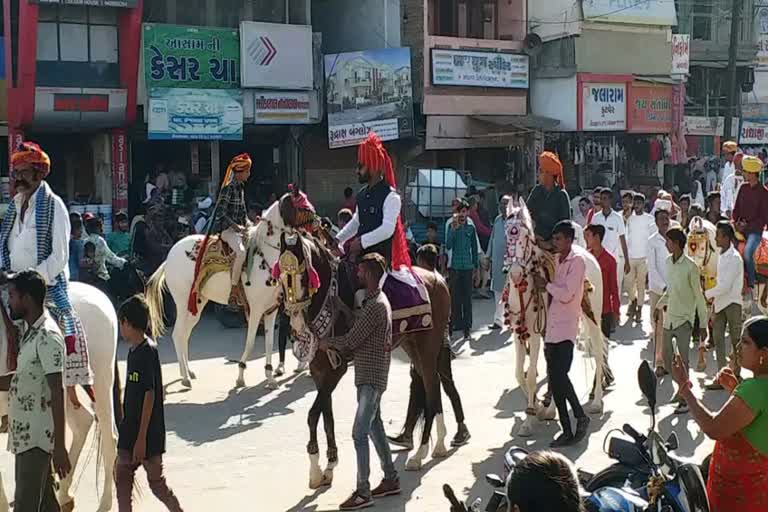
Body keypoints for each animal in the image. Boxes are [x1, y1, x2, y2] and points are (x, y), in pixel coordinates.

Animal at [0, 282, 118, 510]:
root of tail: (100, 295)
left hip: (101, 380)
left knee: (110, 439)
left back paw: (105, 502)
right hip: (63, 394)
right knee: (83, 422)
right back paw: (64, 494)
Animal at [146, 200, 284, 388]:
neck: (264, 257)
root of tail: (169, 258)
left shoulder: (271, 310)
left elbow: (269, 343)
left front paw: (270, 378)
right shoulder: (256, 310)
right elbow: (250, 342)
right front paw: (240, 377)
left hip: (196, 303)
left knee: (185, 335)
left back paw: (188, 371)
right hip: (182, 302)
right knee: (178, 334)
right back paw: (185, 377)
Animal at [276, 191, 452, 488]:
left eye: (302, 274)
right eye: (282, 275)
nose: (295, 319)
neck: (330, 297)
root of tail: (437, 278)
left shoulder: (336, 367)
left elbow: (313, 415)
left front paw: (316, 469)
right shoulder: (319, 369)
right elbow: (325, 416)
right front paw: (327, 466)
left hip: (428, 346)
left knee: (430, 387)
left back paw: (421, 452)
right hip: (412, 345)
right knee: (433, 386)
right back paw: (437, 444)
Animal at [504, 198, 608, 438]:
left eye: (525, 237)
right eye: (506, 234)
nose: (515, 273)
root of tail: (588, 253)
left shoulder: (533, 333)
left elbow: (531, 376)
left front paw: (528, 421)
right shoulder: (518, 332)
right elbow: (519, 374)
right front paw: (537, 408)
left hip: (593, 317)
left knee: (598, 352)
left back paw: (596, 402)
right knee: (557, 368)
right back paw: (551, 408)